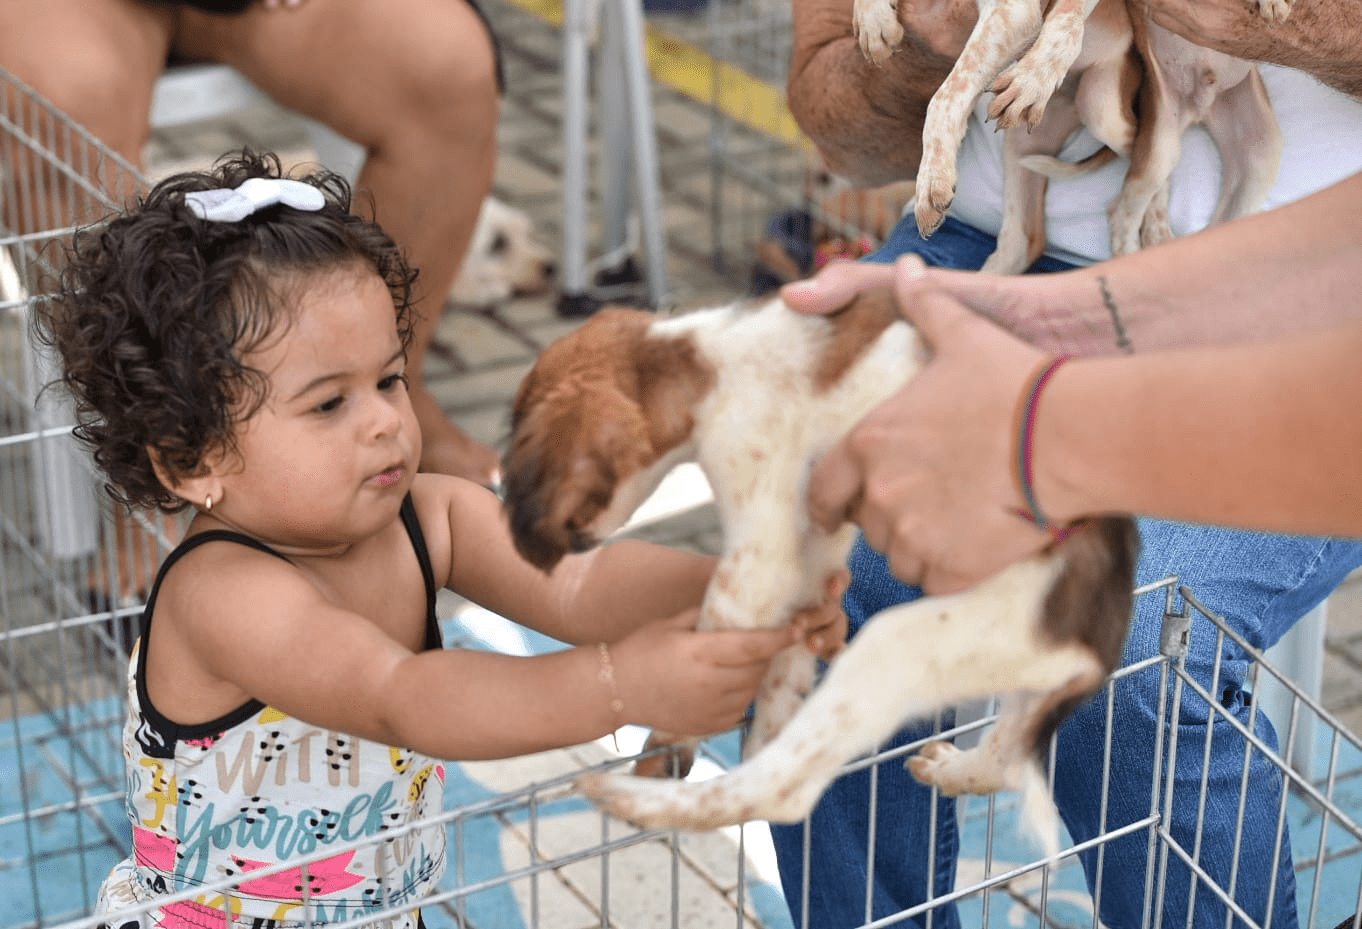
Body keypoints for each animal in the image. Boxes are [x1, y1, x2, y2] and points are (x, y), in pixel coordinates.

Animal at [501, 292, 1138, 849]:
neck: (702, 359)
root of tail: (1094, 651)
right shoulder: (811, 547)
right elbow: (786, 659)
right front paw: (766, 721)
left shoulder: (760, 551)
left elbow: (720, 639)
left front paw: (668, 743)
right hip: (1019, 676)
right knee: (1004, 762)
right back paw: (954, 769)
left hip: (904, 642)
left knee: (782, 792)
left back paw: (626, 796)